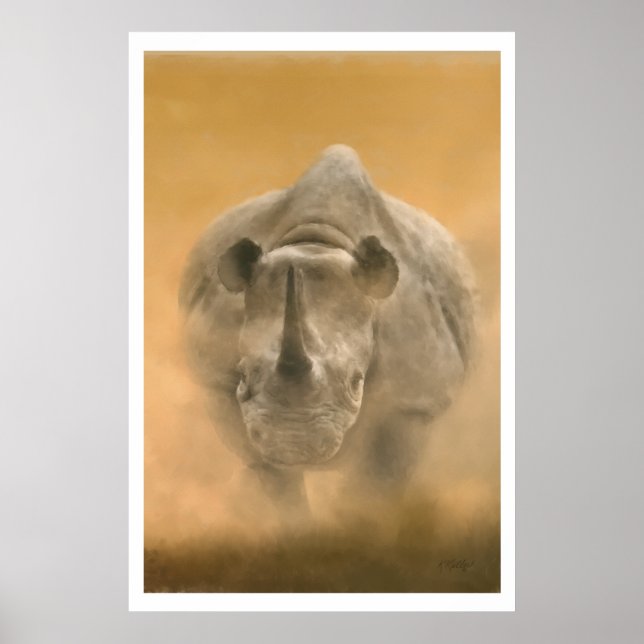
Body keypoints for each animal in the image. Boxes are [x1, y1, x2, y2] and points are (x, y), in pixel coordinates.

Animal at [179, 145, 476, 519]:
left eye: (356, 382)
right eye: (243, 375)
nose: (292, 444)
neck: (318, 242)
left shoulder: (414, 399)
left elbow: (377, 482)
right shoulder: (218, 382)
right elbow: (277, 483)